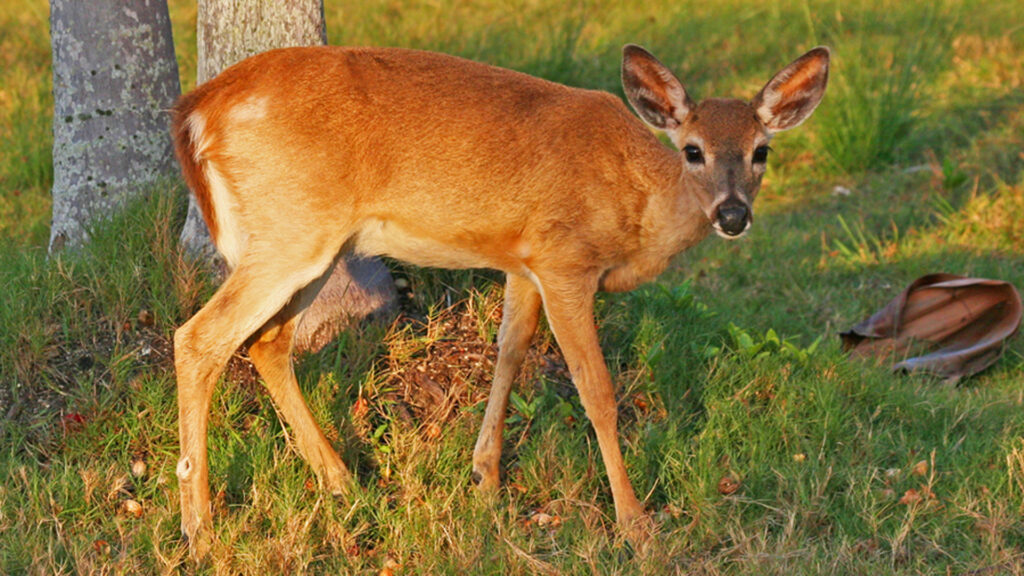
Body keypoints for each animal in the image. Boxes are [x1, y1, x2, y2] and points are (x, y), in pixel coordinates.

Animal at [174, 42, 831, 553]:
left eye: (761, 151)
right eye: (693, 149)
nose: (732, 215)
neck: (636, 207)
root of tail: (197, 108)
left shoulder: (524, 261)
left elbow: (510, 351)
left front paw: (485, 482)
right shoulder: (564, 259)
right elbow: (597, 392)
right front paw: (635, 523)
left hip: (315, 241)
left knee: (267, 342)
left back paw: (344, 482)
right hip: (293, 228)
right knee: (199, 338)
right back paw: (201, 529)